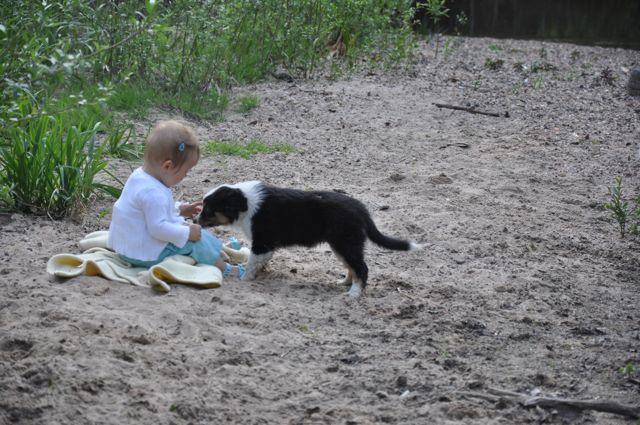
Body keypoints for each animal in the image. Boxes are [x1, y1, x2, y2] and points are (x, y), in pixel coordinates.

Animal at [195, 181, 420, 296]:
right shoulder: (266, 245)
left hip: (345, 242)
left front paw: (244, 279)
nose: (195, 220)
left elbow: (252, 262)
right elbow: (259, 261)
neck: (245, 202)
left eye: (208, 210)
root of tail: (362, 209)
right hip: (342, 245)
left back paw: (354, 293)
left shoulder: (262, 241)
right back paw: (345, 283)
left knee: (362, 268)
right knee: (352, 267)